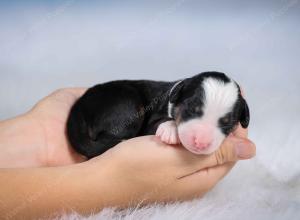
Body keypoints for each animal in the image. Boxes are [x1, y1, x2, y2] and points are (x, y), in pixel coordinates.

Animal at [67, 72, 250, 158]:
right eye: (190, 110)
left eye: (227, 124)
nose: (200, 143)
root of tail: (79, 106)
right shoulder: (151, 120)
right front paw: (170, 130)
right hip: (127, 104)